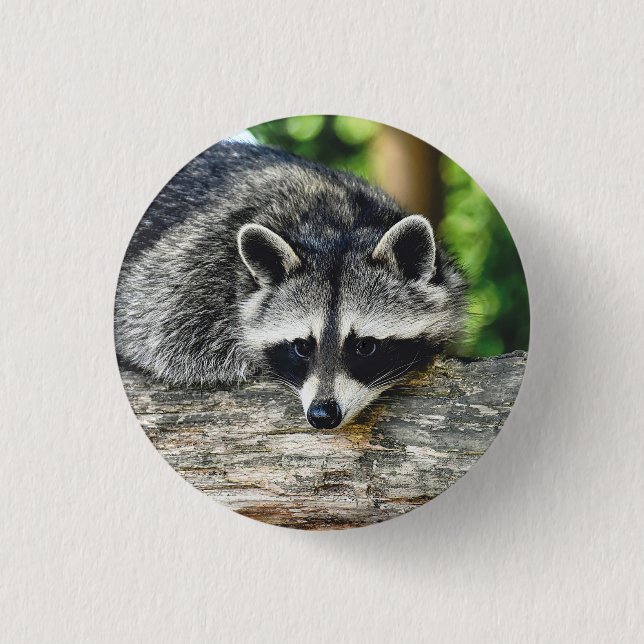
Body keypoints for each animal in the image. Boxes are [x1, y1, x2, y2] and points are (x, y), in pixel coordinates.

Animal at [115, 141, 466, 428]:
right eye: (301, 346)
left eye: (365, 346)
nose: (323, 415)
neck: (339, 224)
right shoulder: (189, 272)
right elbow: (153, 334)